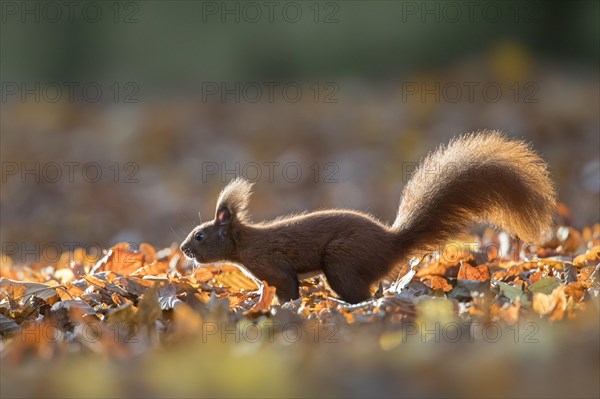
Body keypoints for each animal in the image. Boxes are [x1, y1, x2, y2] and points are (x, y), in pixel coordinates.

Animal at [180, 131, 556, 304]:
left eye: (200, 235)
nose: (184, 249)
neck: (245, 243)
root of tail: (391, 243)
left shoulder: (271, 263)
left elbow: (287, 286)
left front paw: (278, 305)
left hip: (342, 260)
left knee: (361, 293)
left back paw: (338, 300)